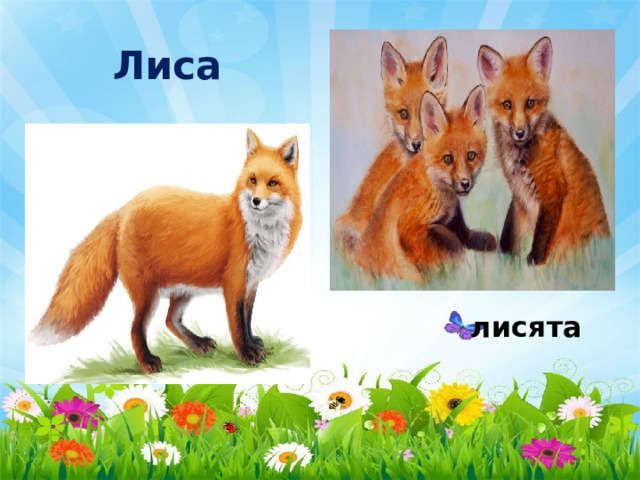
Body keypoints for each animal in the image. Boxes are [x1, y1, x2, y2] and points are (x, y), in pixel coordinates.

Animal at [30, 129, 302, 374]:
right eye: (253, 180)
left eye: (273, 183)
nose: (256, 201)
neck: (258, 231)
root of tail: (124, 208)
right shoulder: (234, 282)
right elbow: (236, 325)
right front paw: (246, 353)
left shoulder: (251, 283)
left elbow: (247, 319)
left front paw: (253, 342)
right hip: (148, 294)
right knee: (135, 328)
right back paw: (147, 362)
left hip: (183, 288)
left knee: (170, 320)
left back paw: (198, 344)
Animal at [354, 85, 497, 281]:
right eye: (448, 159)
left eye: (471, 156)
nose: (465, 183)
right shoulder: (410, 230)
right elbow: (448, 245)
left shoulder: (456, 222)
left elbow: (472, 237)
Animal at [477, 37, 610, 265]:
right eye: (507, 104)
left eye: (530, 103)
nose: (520, 132)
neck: (520, 157)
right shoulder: (519, 196)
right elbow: (509, 235)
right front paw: (506, 262)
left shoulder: (551, 189)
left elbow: (541, 236)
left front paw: (533, 263)